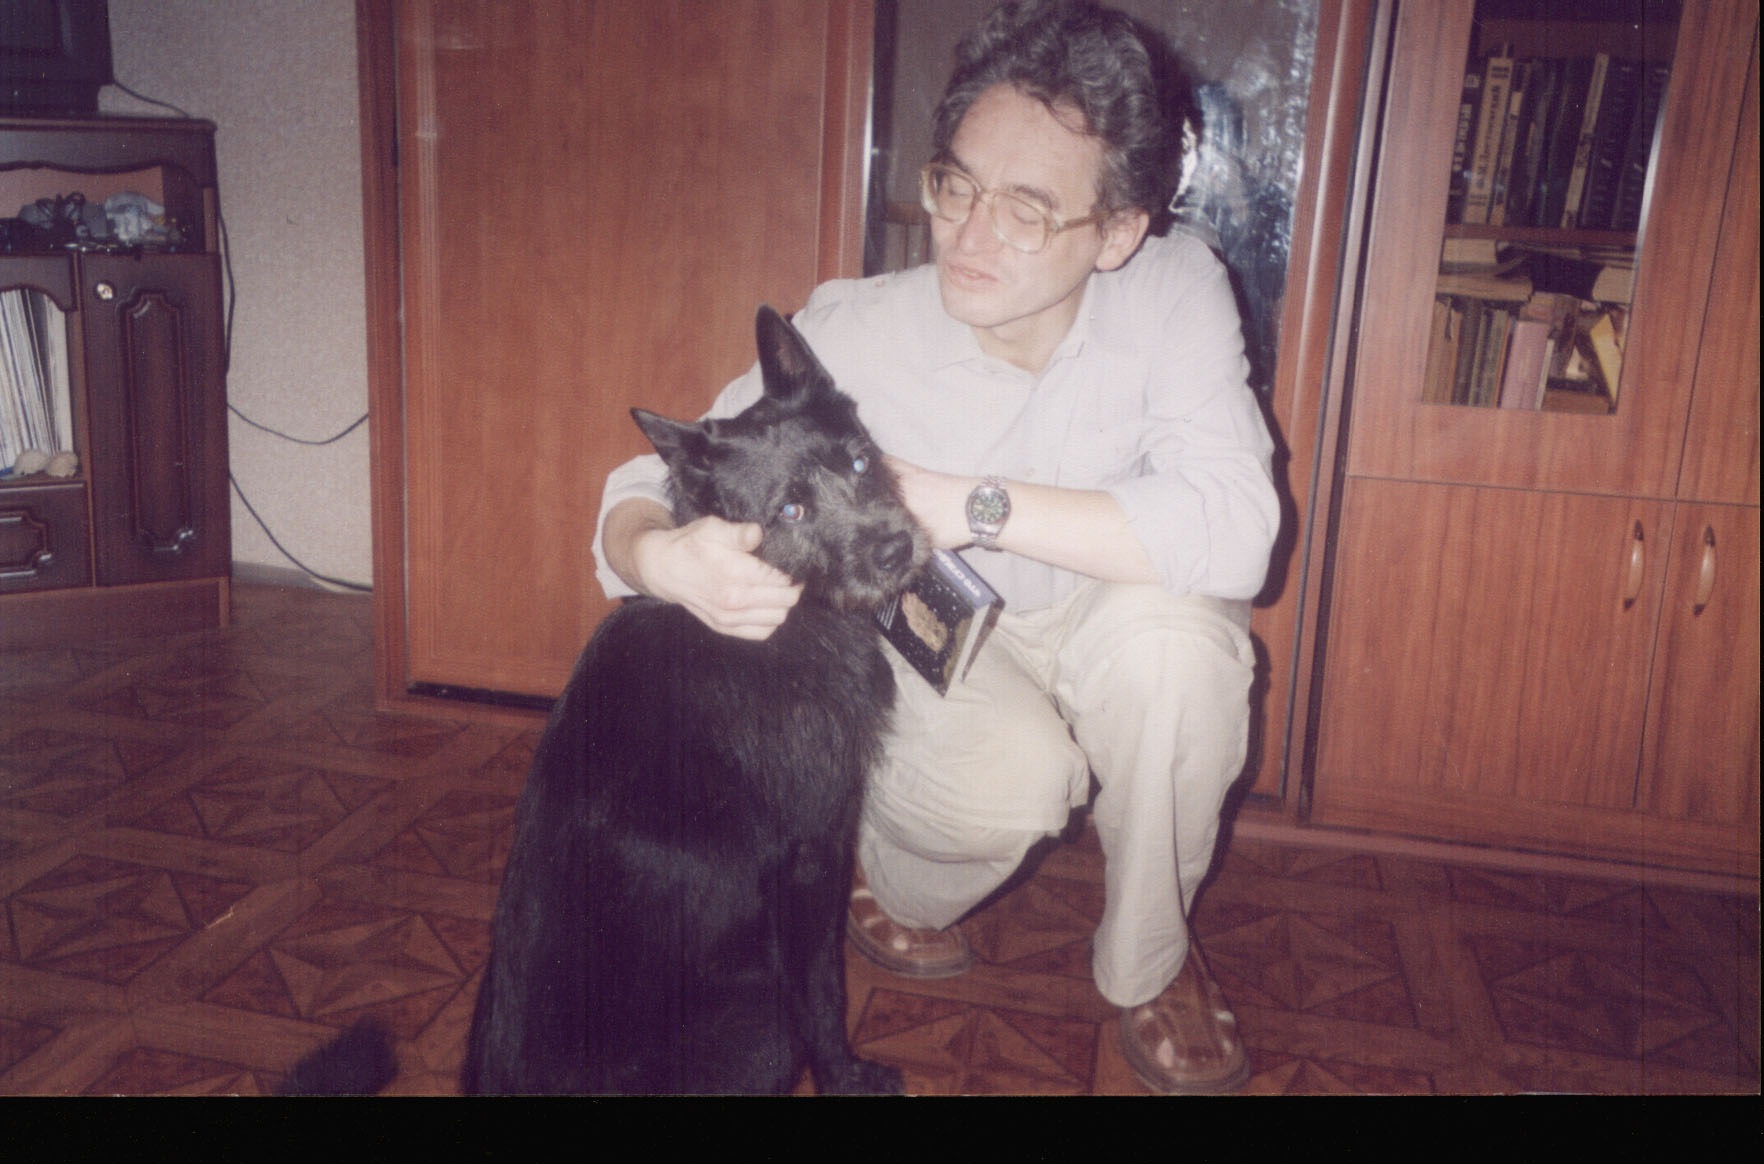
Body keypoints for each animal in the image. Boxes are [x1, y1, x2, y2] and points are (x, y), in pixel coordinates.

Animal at [457, 306, 928, 1094]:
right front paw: (846, 1074)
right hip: (762, 1026)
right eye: (790, 508)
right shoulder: (814, 859)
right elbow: (824, 991)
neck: (782, 615)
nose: (897, 550)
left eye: (861, 460)